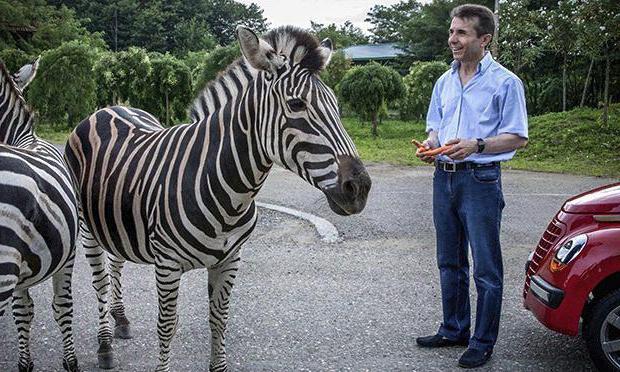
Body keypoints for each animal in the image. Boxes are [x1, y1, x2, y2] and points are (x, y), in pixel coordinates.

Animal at [65, 24, 370, 370]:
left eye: (336, 106)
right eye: (296, 105)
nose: (360, 187)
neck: (231, 194)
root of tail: (108, 108)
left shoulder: (230, 259)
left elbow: (219, 320)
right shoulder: (167, 264)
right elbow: (167, 325)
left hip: (117, 218)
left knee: (116, 262)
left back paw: (121, 320)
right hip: (87, 226)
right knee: (100, 281)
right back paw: (104, 344)